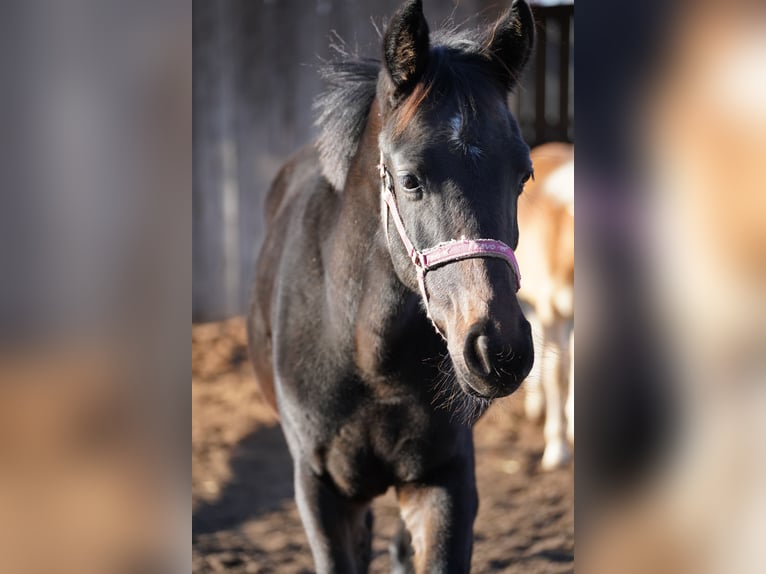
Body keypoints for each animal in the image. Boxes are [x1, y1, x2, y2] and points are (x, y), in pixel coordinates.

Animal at [249, 2, 536, 572]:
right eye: (409, 180)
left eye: (523, 176)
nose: (499, 348)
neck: (365, 354)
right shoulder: (320, 490)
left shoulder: (444, 480)